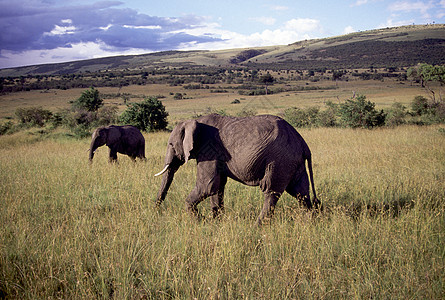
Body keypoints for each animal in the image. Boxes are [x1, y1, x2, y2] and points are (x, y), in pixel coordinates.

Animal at [153, 113, 320, 224]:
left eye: (171, 144)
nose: (156, 211)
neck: (196, 121)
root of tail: (303, 143)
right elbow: (217, 187)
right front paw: (217, 222)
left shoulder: (209, 150)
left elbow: (206, 186)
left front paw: (200, 221)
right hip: (294, 162)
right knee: (300, 192)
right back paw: (310, 222)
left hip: (279, 161)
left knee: (271, 191)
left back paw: (257, 226)